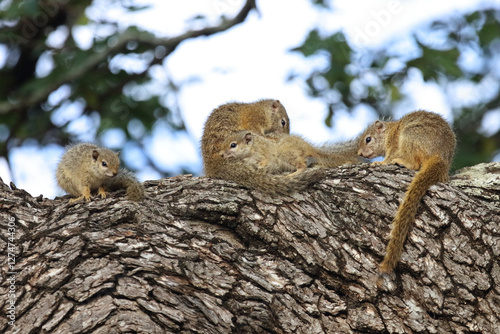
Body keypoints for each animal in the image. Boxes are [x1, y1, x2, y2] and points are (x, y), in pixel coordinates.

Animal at [358, 111, 456, 272]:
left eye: (368, 139)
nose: (360, 153)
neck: (390, 131)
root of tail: (440, 157)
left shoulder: (393, 145)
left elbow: (389, 158)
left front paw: (380, 163)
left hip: (411, 135)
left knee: (415, 164)